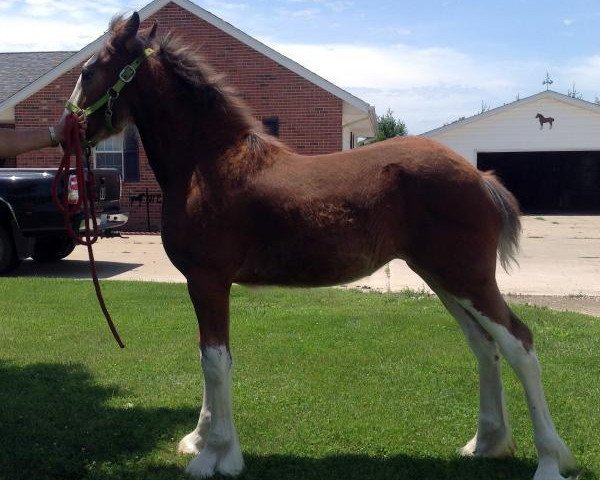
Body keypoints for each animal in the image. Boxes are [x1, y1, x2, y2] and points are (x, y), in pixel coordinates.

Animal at [68, 13, 580, 478]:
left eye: (89, 71)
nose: (61, 130)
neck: (207, 164)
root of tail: (480, 176)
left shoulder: (208, 281)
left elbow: (215, 361)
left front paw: (216, 456)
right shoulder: (204, 285)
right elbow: (205, 356)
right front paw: (199, 439)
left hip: (467, 277)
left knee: (519, 343)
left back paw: (550, 462)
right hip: (444, 278)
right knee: (484, 345)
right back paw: (486, 443)